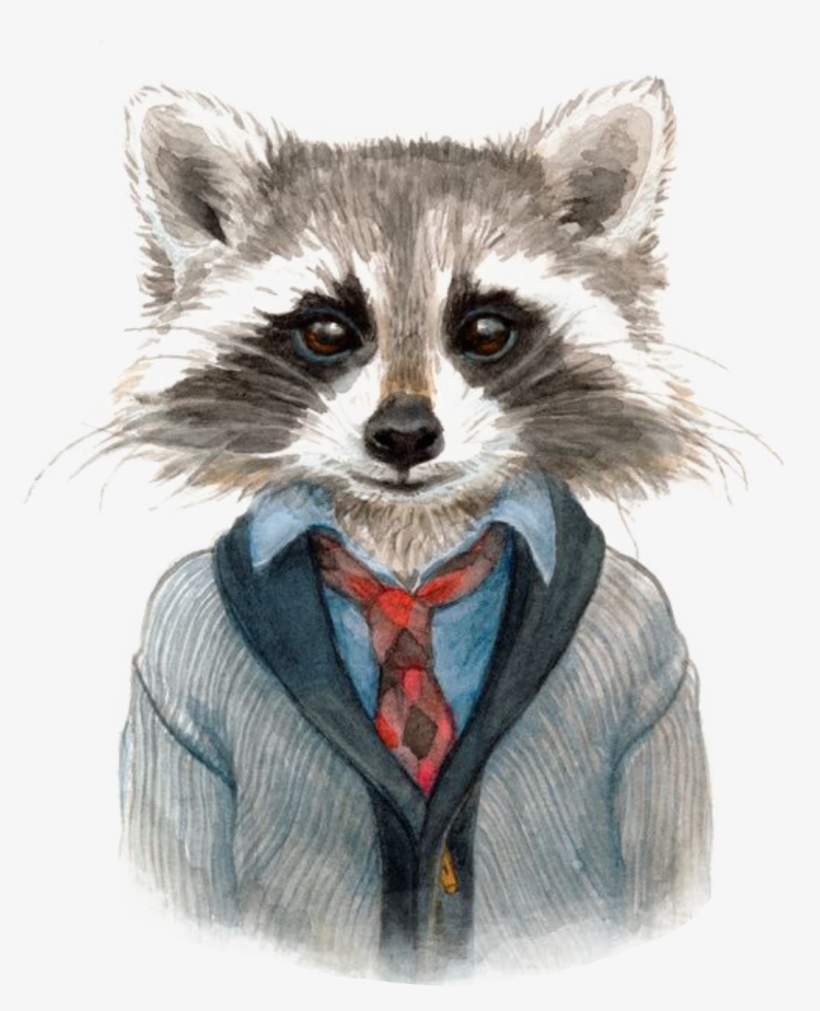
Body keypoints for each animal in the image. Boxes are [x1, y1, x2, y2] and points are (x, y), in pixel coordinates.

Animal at [117, 79, 713, 980]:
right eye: (327, 330)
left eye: (487, 330)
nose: (403, 435)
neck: (408, 543)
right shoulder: (170, 670)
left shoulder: (656, 667)